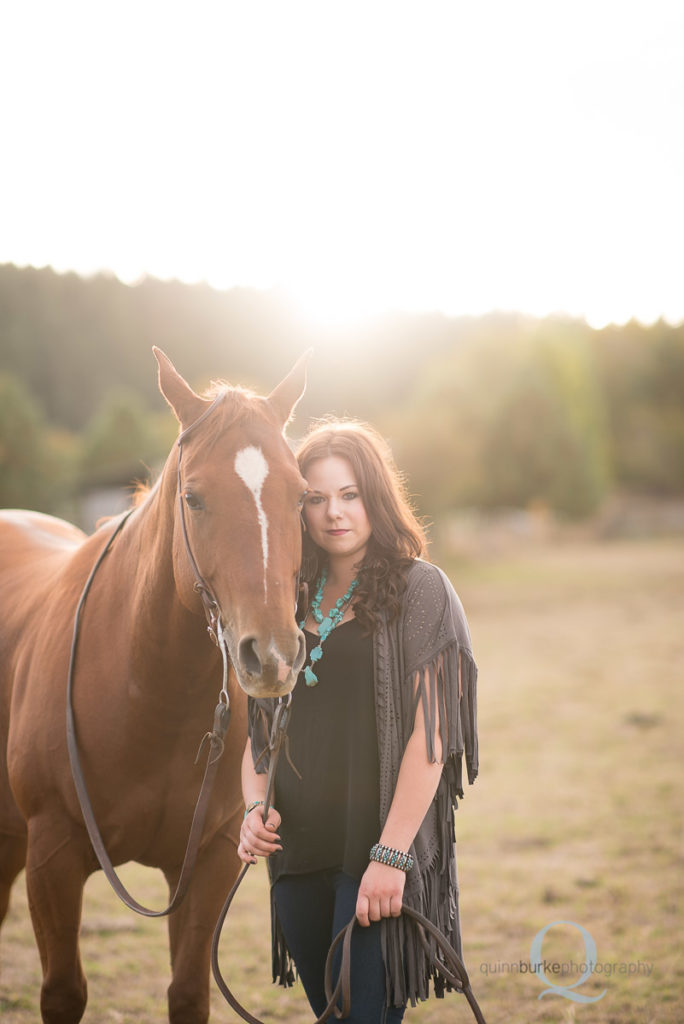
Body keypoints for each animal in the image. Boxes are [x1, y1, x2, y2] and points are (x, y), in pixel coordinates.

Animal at [0, 348, 307, 1019]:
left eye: (303, 496)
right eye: (193, 498)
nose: (272, 656)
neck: (148, 693)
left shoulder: (208, 860)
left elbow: (188, 992)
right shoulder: (52, 858)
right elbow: (63, 993)